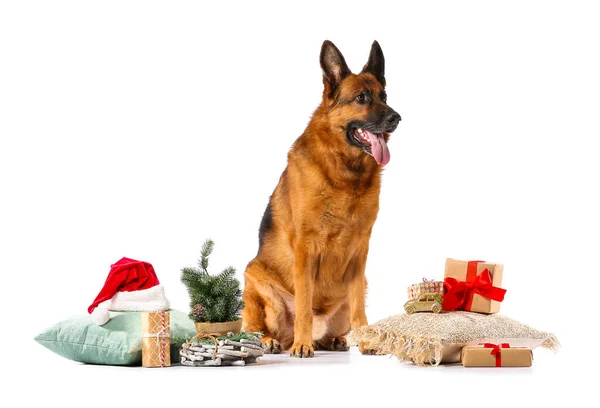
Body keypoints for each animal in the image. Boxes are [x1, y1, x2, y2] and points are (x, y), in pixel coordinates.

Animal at [241, 39, 400, 356]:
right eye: (361, 98)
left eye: (384, 96)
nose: (396, 118)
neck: (344, 173)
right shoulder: (306, 248)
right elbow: (304, 305)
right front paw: (302, 345)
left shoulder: (360, 251)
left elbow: (359, 310)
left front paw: (366, 340)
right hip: (256, 279)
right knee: (254, 327)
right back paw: (273, 341)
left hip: (358, 287)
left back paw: (335, 340)